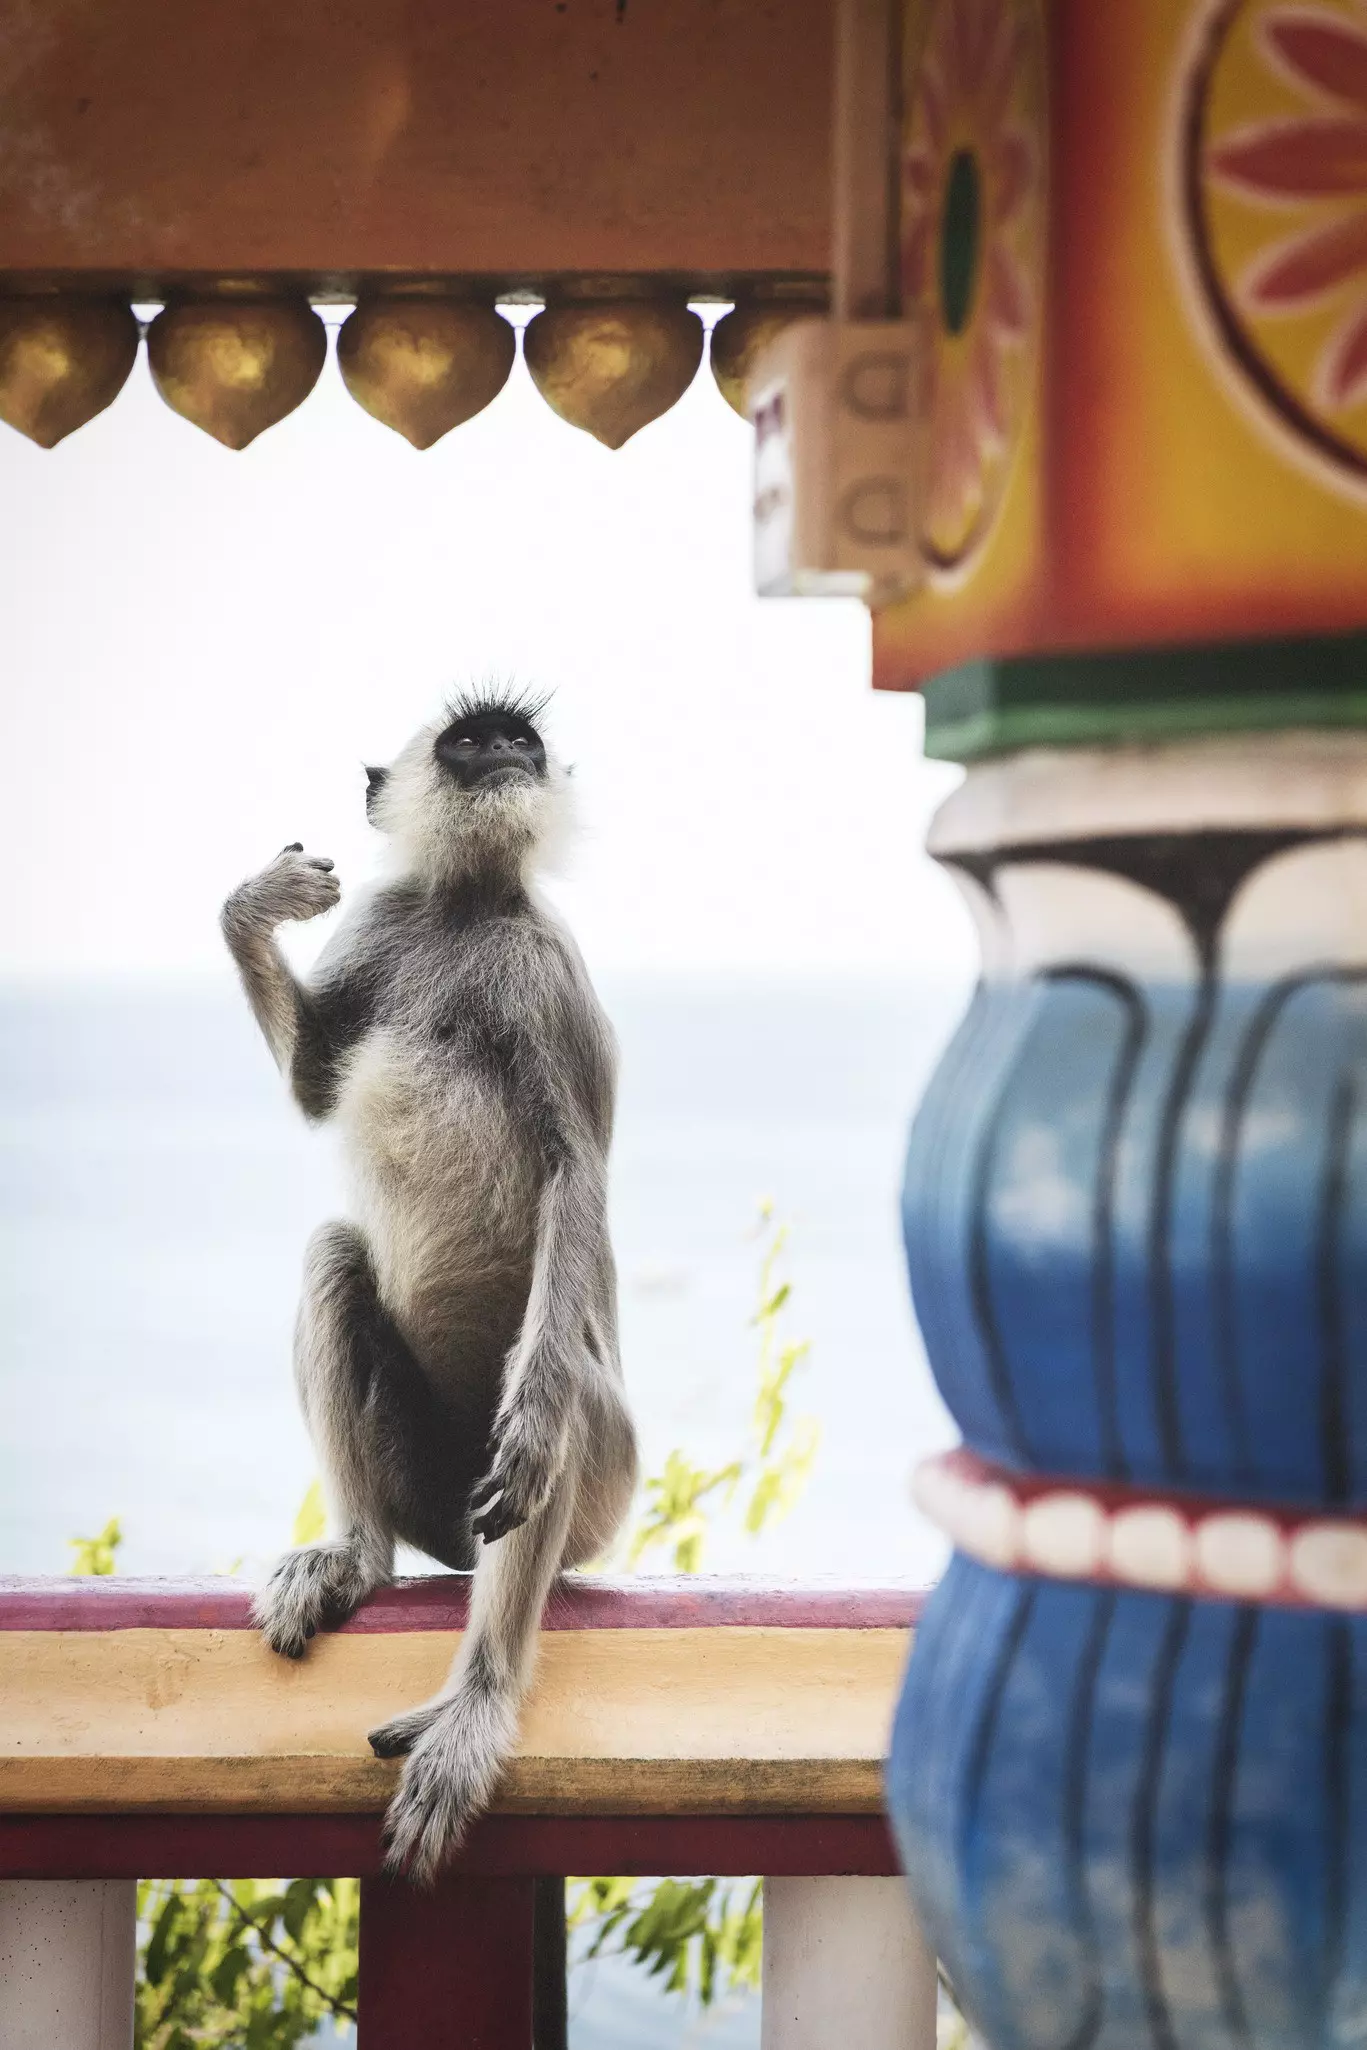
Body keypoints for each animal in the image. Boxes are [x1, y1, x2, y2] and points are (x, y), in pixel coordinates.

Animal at [219, 685, 637, 1884]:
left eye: (519, 741)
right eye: (467, 740)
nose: (501, 752)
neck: (465, 909)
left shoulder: (549, 973)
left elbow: (575, 1176)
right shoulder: (388, 922)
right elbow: (316, 1083)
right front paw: (255, 901)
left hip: (588, 1490)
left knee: (560, 1395)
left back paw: (477, 1704)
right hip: (421, 1481)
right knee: (334, 1254)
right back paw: (355, 1553)